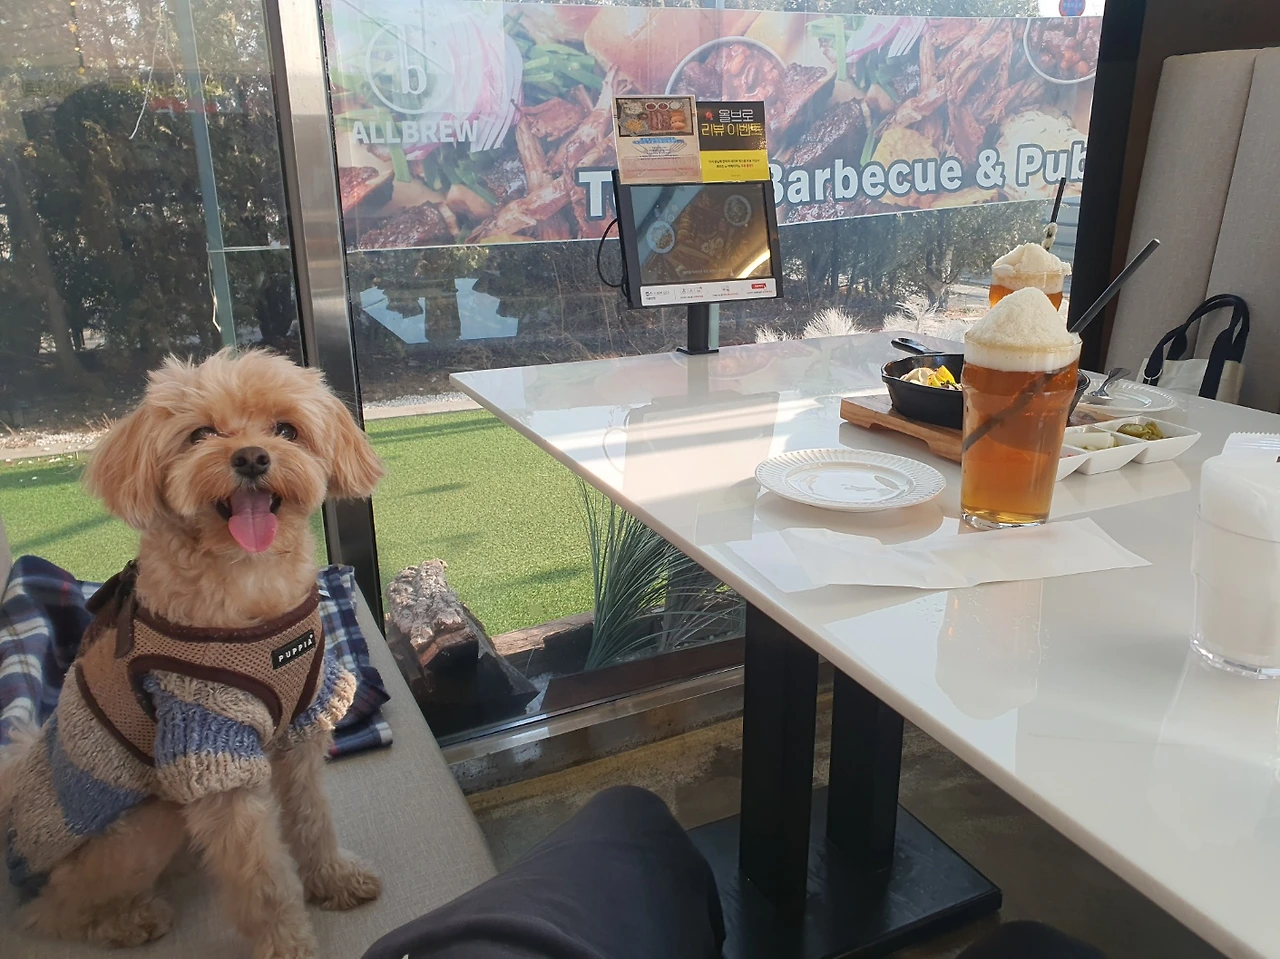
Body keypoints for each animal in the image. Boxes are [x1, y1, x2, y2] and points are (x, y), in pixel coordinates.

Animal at [1, 349, 385, 958]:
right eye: (200, 433)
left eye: (286, 430)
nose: (251, 457)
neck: (251, 586)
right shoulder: (207, 742)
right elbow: (261, 877)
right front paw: (286, 943)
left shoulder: (300, 725)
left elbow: (312, 819)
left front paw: (334, 880)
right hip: (144, 824)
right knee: (53, 911)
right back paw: (127, 921)